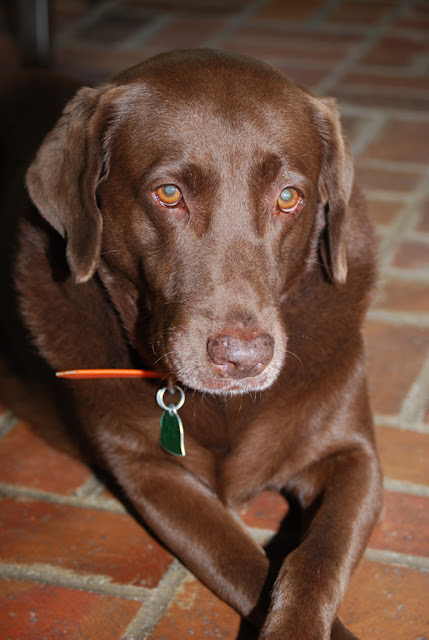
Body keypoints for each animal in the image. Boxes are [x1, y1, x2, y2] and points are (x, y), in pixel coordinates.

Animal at [2, 49, 383, 639]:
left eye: (289, 198)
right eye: (169, 194)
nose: (243, 359)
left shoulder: (354, 456)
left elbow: (315, 560)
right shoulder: (149, 475)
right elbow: (244, 562)